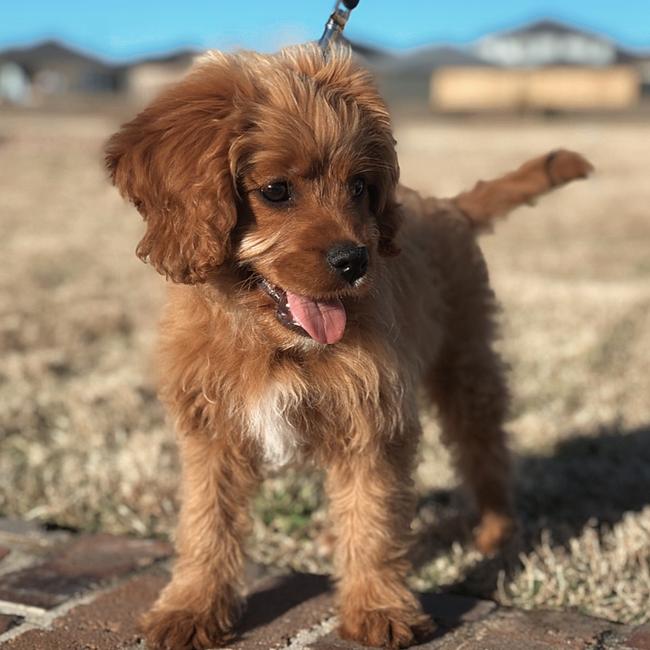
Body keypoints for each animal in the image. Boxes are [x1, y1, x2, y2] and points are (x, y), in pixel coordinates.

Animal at [104, 43, 588, 644]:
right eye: (276, 191)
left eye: (359, 186)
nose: (356, 261)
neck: (277, 343)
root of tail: (449, 206)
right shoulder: (213, 431)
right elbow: (204, 522)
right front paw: (191, 608)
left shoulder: (372, 421)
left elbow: (374, 517)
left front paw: (379, 607)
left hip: (466, 365)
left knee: (484, 447)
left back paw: (498, 531)